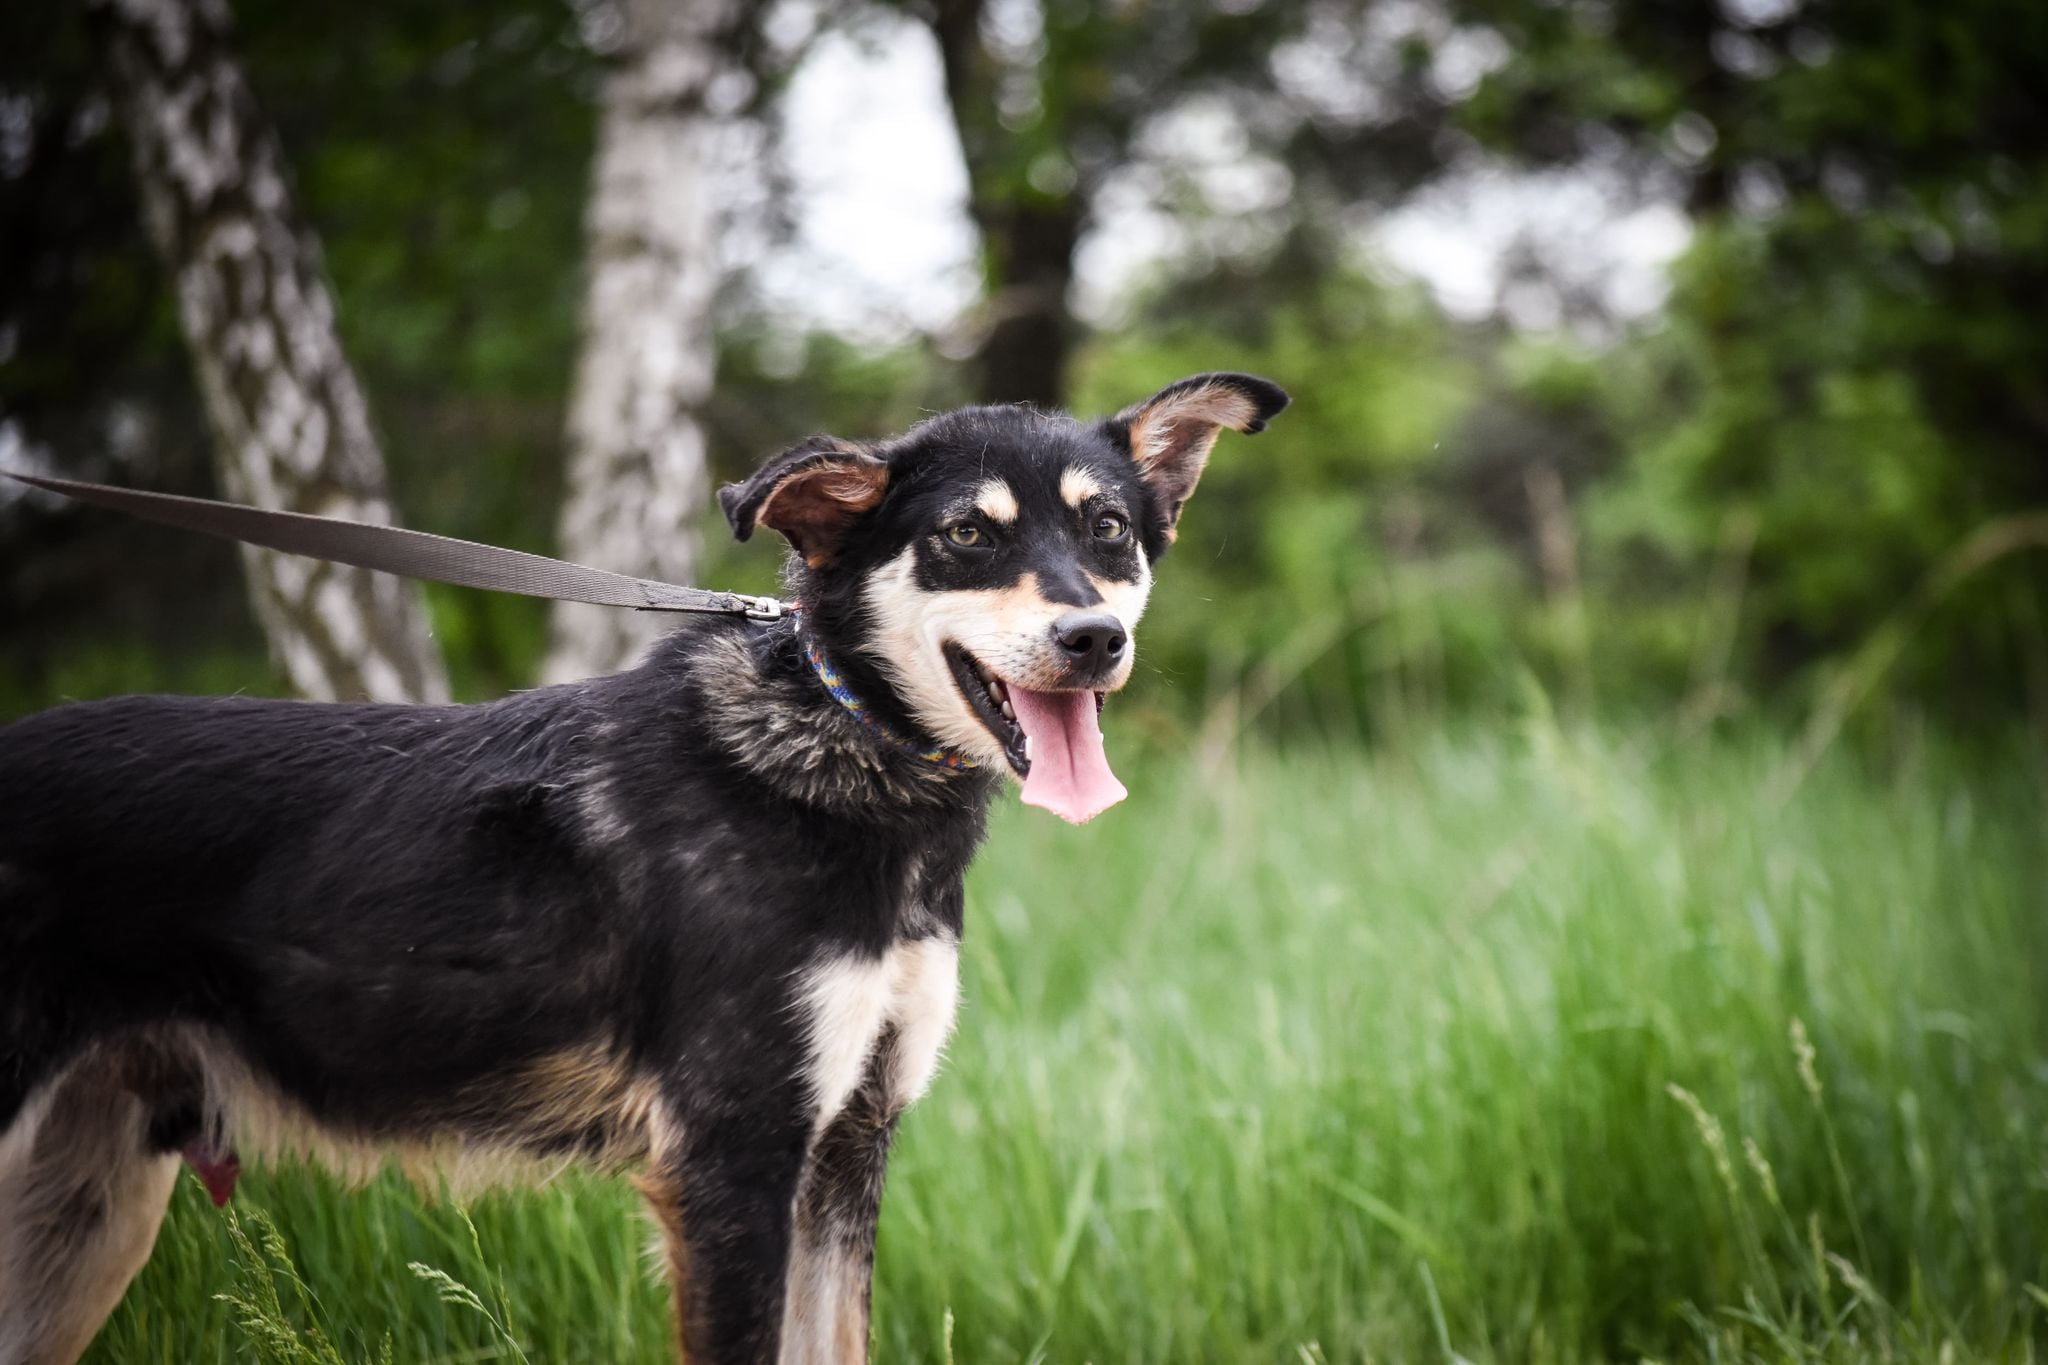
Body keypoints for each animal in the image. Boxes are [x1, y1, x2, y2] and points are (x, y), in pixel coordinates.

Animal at [0, 372, 1287, 1364]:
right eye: (966, 536)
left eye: (1106, 530)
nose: (1092, 640)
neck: (836, 751)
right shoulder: (731, 1163)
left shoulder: (845, 1150)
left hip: (84, 1215)